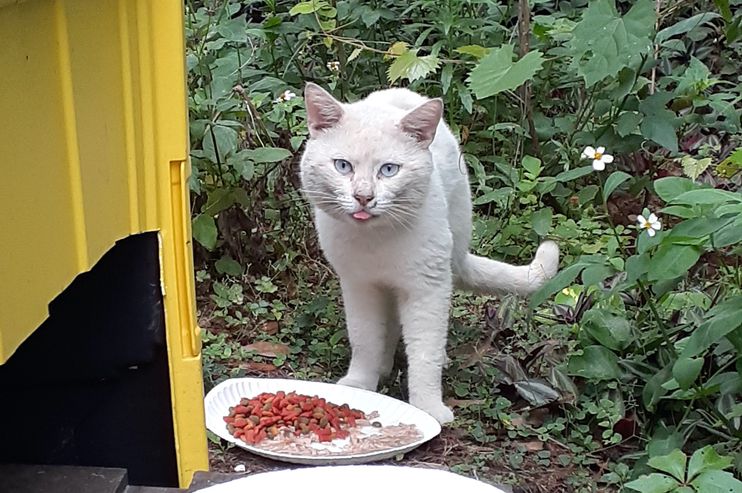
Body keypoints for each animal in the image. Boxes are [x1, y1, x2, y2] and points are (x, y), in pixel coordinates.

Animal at [300, 82, 560, 420]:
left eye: (389, 170)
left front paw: (428, 408)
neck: (375, 242)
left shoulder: (427, 287)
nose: (363, 197)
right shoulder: (359, 285)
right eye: (342, 166)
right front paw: (360, 384)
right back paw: (384, 366)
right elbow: (364, 339)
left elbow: (426, 352)